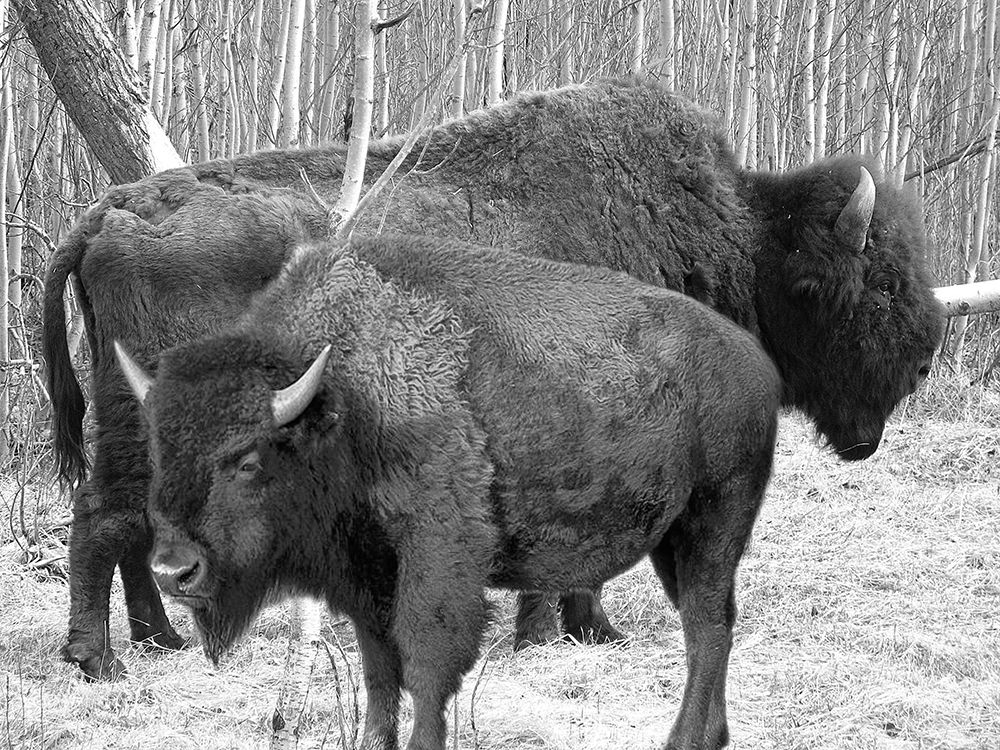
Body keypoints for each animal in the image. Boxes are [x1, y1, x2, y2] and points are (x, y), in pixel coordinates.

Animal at [43, 79, 944, 680]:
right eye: (880, 281)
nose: (927, 354)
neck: (737, 235)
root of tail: (109, 211)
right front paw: (550, 631)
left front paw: (592, 630)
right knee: (103, 516)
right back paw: (98, 660)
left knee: (134, 521)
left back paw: (156, 639)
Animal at [116, 234, 781, 750]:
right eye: (157, 452)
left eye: (248, 461)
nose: (174, 571)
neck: (343, 399)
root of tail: (755, 364)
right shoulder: (366, 575)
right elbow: (380, 670)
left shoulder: (436, 555)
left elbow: (426, 664)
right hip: (672, 541)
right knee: (709, 625)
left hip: (714, 521)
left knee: (706, 627)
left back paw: (685, 739)